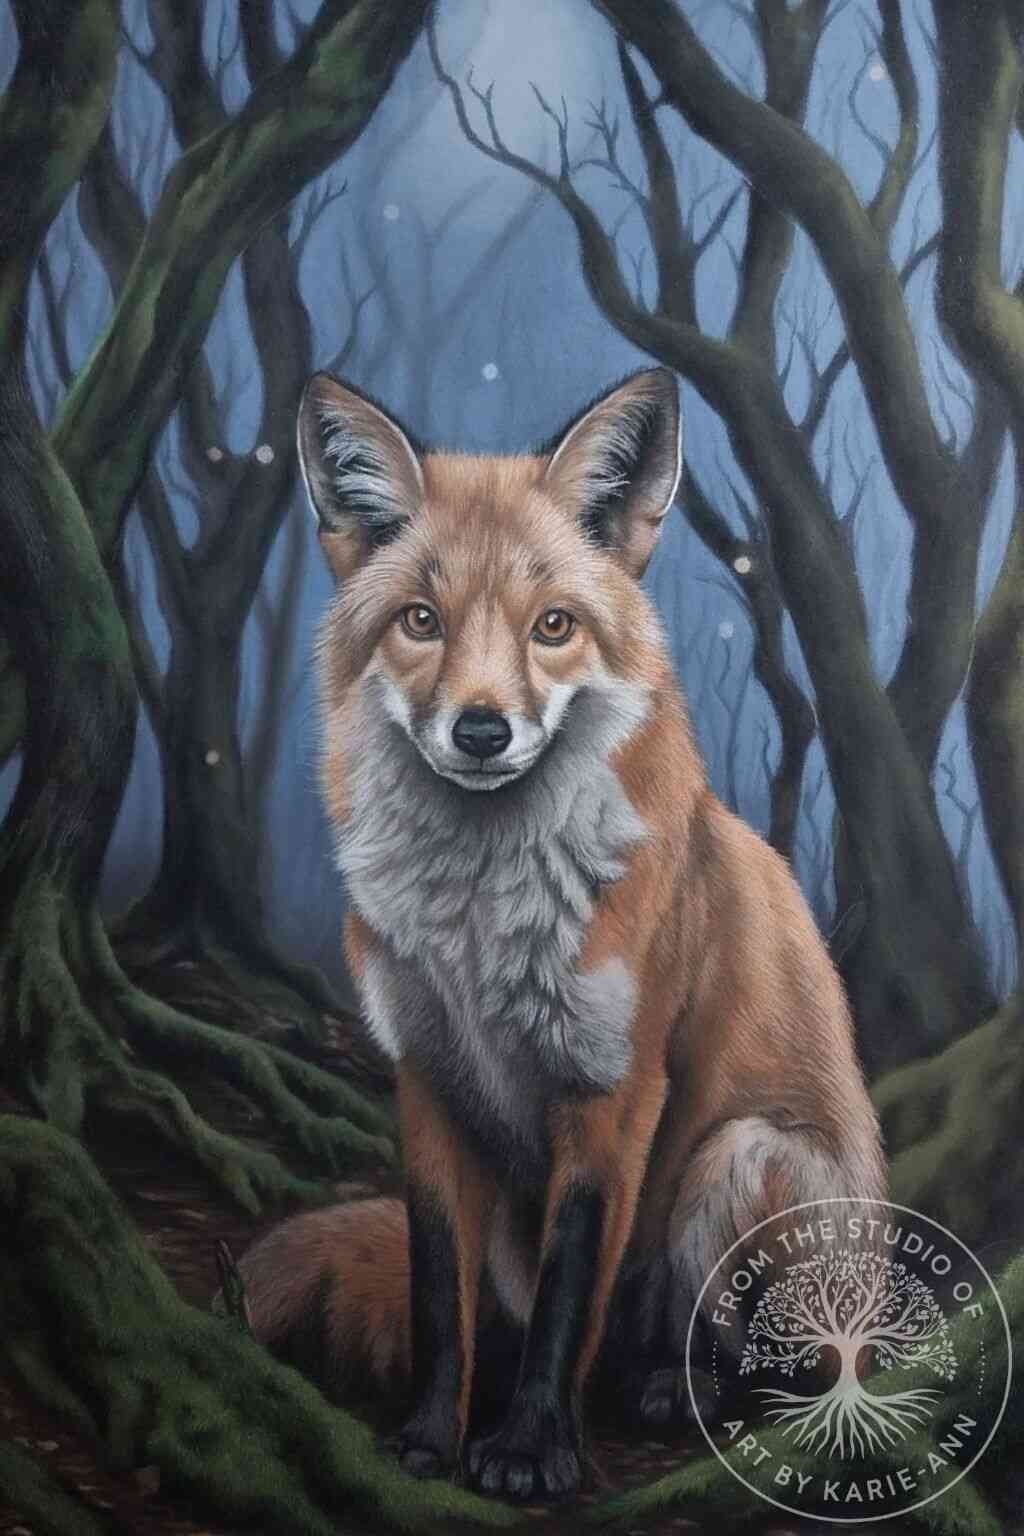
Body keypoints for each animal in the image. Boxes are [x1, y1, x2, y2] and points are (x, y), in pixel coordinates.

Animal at [234, 367, 886, 1501]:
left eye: (551, 626)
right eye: (421, 620)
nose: (481, 729)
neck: (476, 928)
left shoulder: (612, 1088)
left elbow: (566, 1298)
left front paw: (533, 1451)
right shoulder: (425, 1076)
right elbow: (436, 1291)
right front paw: (426, 1439)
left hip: (737, 1161)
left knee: (787, 1367)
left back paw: (680, 1394)